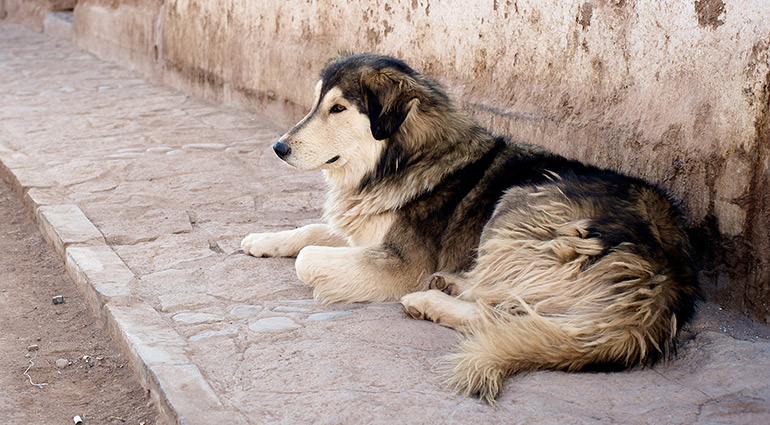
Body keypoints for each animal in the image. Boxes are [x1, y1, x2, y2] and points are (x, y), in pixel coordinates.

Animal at [242, 54, 696, 402]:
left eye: (338, 109)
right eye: (316, 103)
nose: (278, 147)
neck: (404, 159)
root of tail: (670, 276)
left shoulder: (403, 263)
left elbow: (307, 258)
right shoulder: (366, 227)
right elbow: (309, 230)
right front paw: (261, 240)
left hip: (520, 203)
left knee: (503, 312)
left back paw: (432, 299)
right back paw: (450, 284)